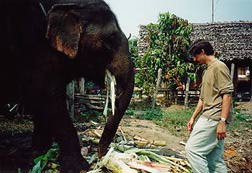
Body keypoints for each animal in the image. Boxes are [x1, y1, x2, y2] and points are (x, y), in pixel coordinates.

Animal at [0, 0, 135, 172]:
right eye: (108, 41)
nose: (100, 158)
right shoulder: (32, 47)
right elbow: (47, 96)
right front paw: (79, 167)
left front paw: (39, 154)